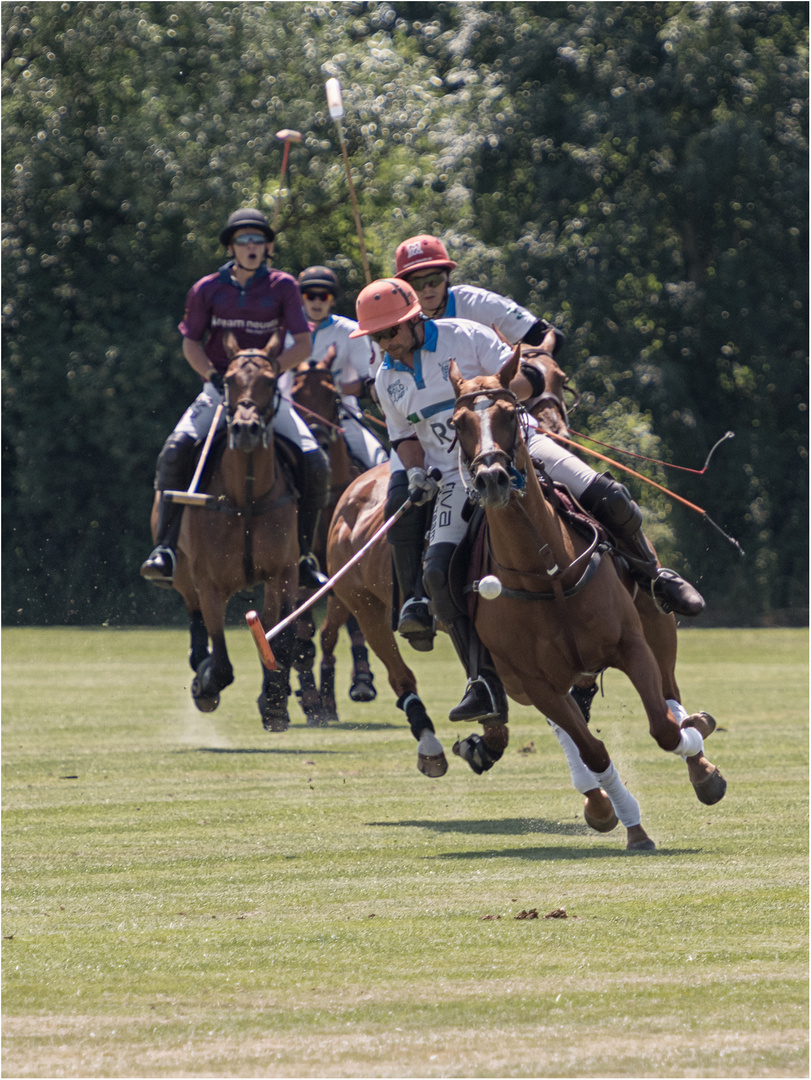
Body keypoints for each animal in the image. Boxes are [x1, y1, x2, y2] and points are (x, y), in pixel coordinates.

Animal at [155, 332, 298, 730]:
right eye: (230, 380)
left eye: (271, 380)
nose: (246, 429)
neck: (245, 495)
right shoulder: (209, 583)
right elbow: (220, 662)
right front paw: (204, 685)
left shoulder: (283, 573)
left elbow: (279, 641)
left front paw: (275, 701)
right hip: (183, 573)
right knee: (194, 617)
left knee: (271, 625)